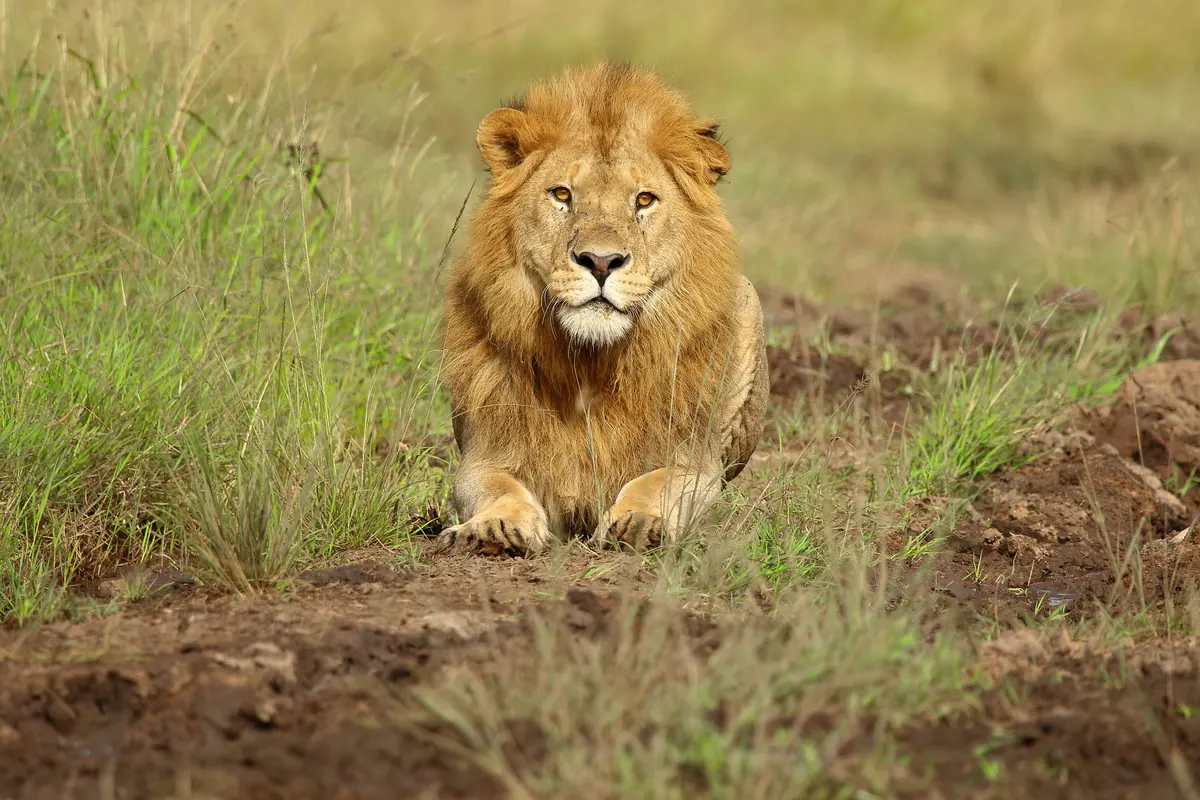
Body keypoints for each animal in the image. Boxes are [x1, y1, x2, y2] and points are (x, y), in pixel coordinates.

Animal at [437, 62, 768, 556]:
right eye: (562, 195)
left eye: (644, 200)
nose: (600, 261)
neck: (590, 361)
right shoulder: (484, 454)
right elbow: (499, 488)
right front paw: (492, 529)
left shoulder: (696, 463)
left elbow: (655, 483)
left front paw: (640, 523)